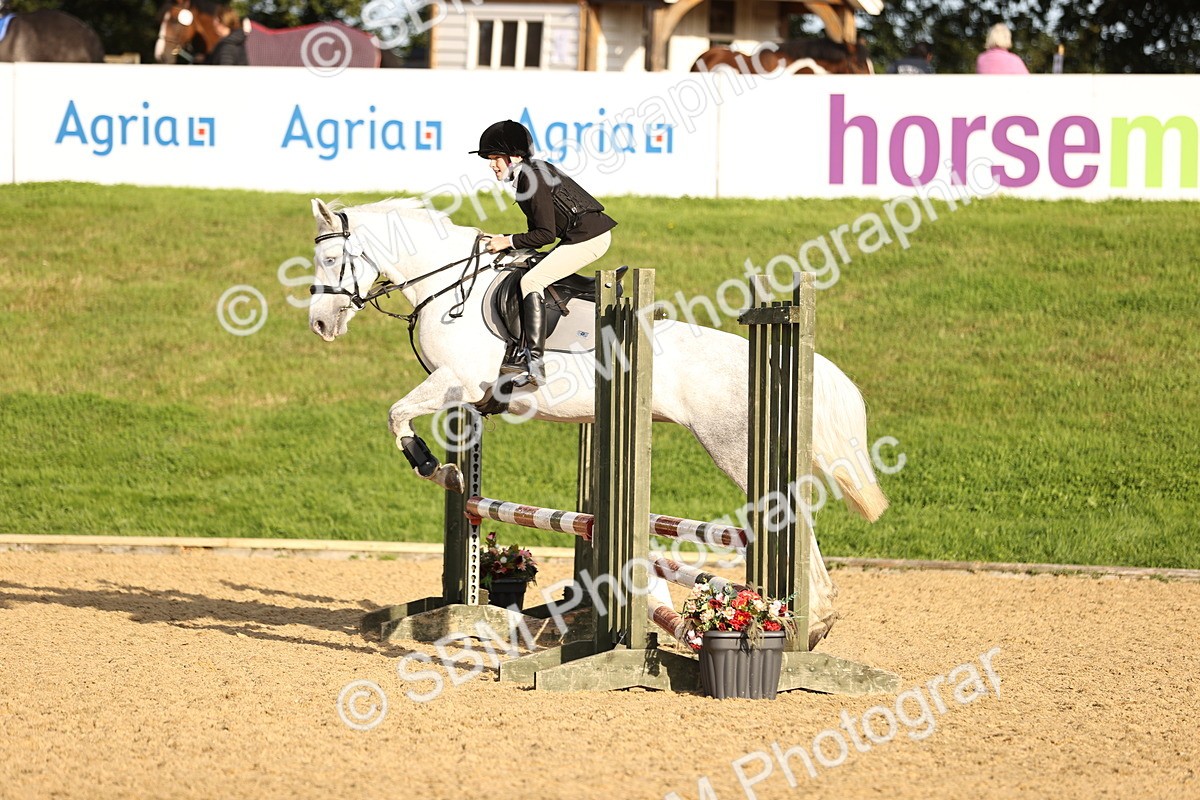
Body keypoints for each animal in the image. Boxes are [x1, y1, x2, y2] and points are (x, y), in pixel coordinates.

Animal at [306, 197, 890, 643]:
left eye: (333, 258)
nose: (319, 325)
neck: (451, 288)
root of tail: (772, 355)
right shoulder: (463, 397)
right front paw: (454, 478)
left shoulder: (459, 382)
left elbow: (396, 414)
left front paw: (436, 468)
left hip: (735, 450)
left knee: (787, 516)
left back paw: (809, 620)